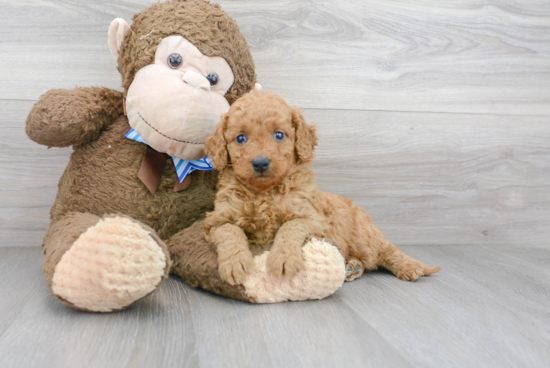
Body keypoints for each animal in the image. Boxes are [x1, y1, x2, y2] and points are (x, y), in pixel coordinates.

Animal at [205, 90, 442, 286]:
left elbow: (289, 226)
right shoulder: (215, 221)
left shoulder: (314, 219)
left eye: (279, 135)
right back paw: (352, 267)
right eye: (240, 138)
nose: (261, 163)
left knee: (387, 250)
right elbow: (229, 230)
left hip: (364, 236)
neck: (265, 192)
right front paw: (235, 264)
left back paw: (410, 266)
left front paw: (283, 259)